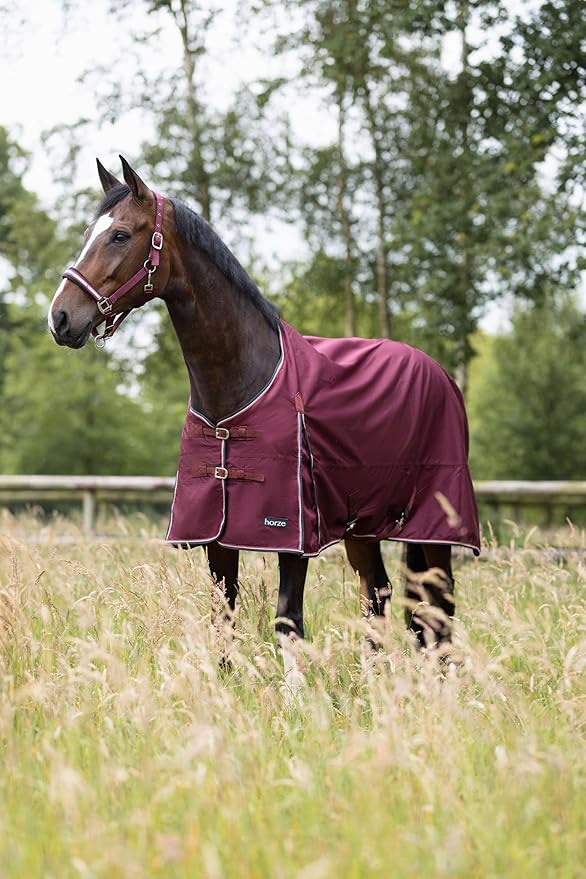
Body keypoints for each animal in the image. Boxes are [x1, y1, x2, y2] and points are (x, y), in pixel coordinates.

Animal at [49, 157, 480, 661]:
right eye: (87, 233)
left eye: (119, 235)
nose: (60, 318)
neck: (240, 383)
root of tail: (440, 373)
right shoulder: (216, 535)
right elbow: (222, 621)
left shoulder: (291, 537)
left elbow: (287, 622)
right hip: (363, 528)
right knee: (379, 596)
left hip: (435, 528)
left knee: (439, 606)